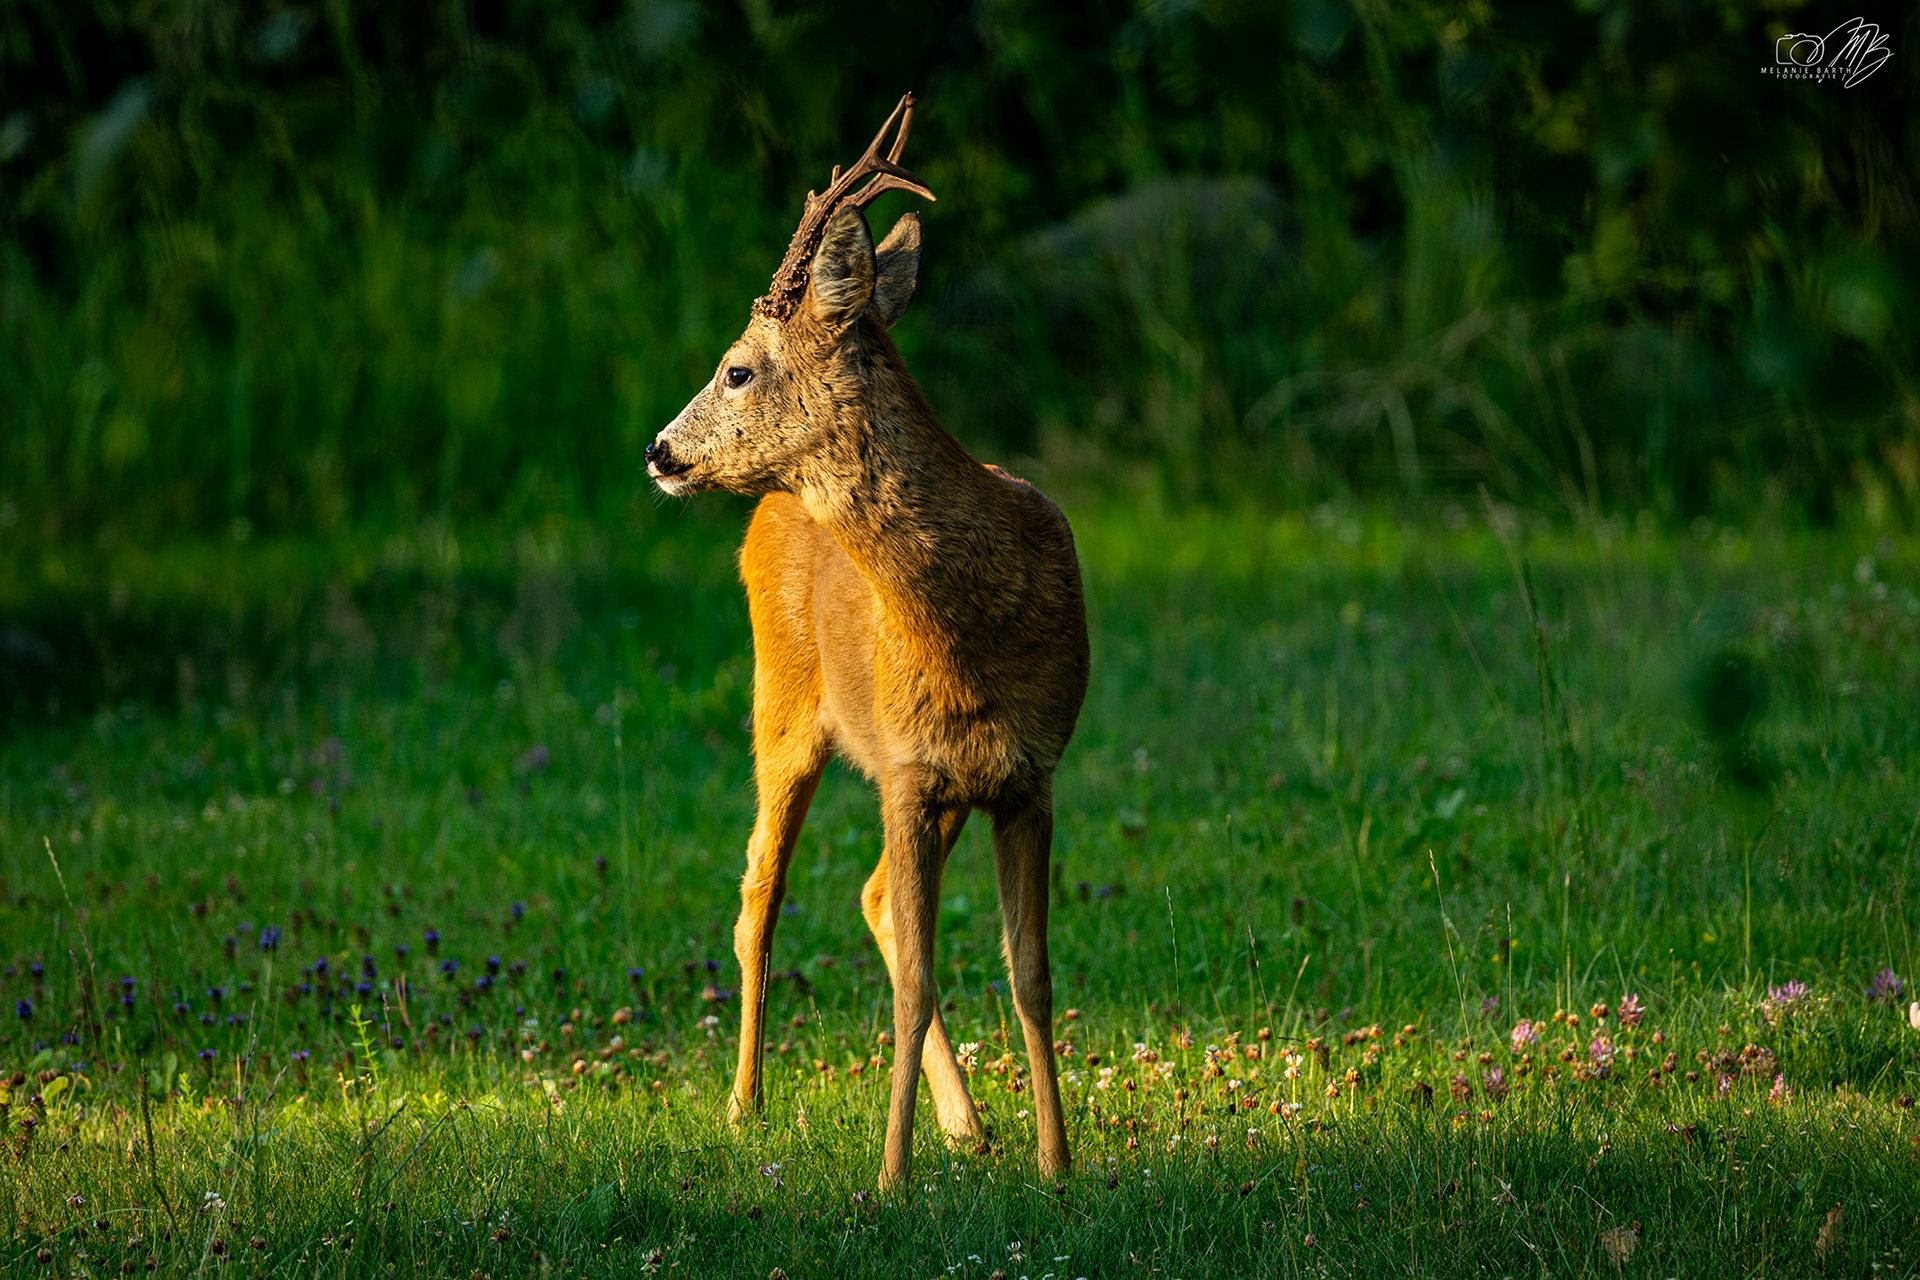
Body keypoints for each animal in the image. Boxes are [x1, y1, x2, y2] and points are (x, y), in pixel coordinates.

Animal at [644, 93, 1089, 1189]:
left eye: (737, 368)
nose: (659, 450)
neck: (976, 628)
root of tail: (768, 507)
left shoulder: (1027, 774)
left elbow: (1030, 972)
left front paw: (1060, 1165)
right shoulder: (903, 768)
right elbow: (918, 981)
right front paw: (891, 1180)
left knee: (874, 895)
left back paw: (968, 1124)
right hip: (780, 704)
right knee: (758, 897)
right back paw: (743, 1105)